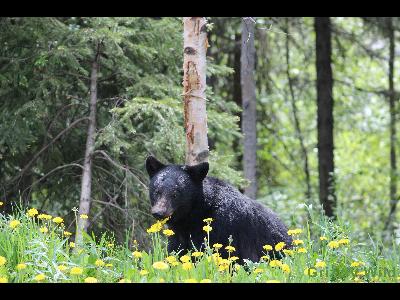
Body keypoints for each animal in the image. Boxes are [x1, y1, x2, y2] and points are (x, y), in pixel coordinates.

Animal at [145, 156, 292, 262]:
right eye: (157, 191)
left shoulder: (223, 228)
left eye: (175, 193)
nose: (159, 212)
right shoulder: (178, 234)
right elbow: (177, 251)